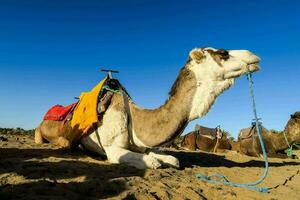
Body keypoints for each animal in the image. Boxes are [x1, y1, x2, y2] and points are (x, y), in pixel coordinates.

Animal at [34, 47, 260, 169]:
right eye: (223, 53)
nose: (253, 55)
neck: (135, 120)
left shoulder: (144, 146)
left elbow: (172, 159)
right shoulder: (112, 149)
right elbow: (153, 163)